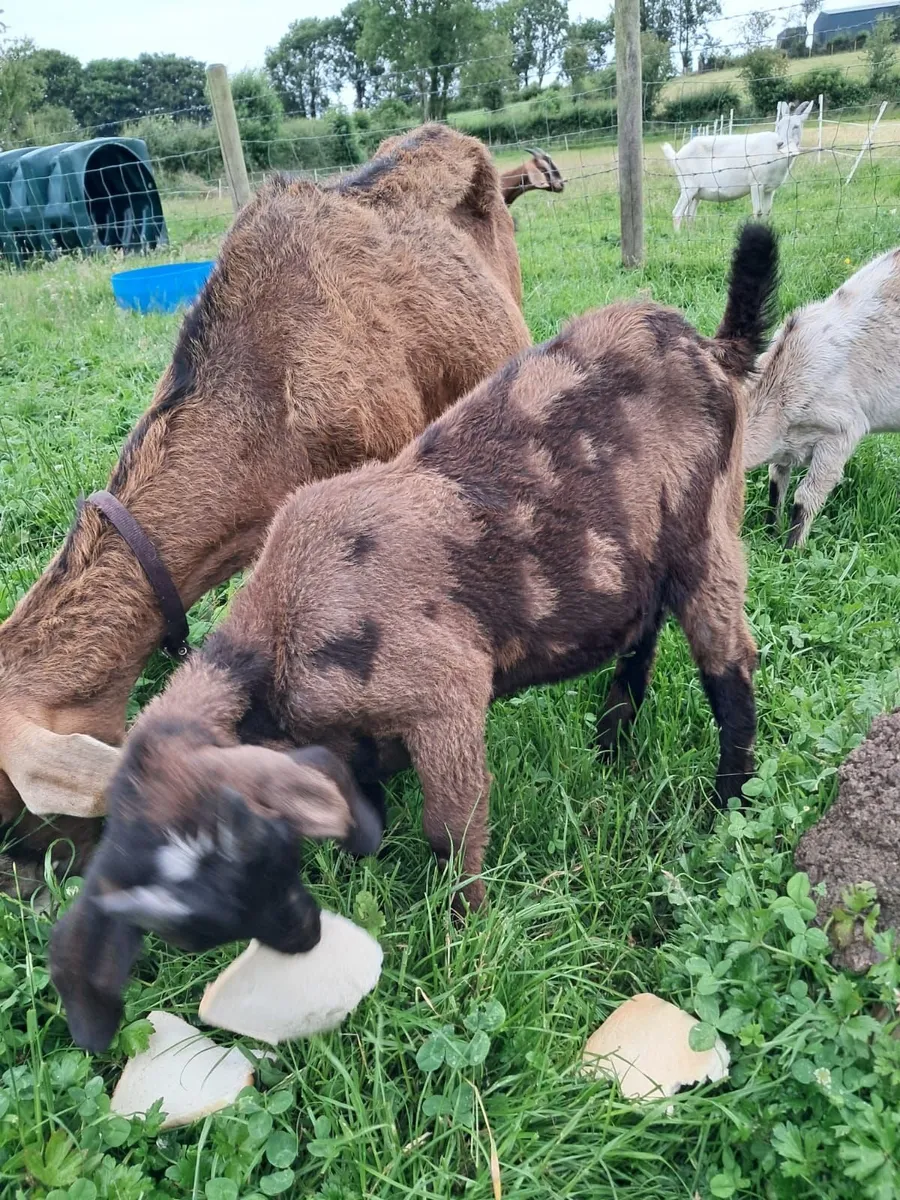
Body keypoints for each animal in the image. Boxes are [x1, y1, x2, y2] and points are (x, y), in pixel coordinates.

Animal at [50, 224, 779, 1054]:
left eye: (258, 842)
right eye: (189, 926)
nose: (303, 935)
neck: (283, 637)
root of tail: (712, 346)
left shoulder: (444, 692)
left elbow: (450, 828)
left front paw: (465, 938)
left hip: (711, 526)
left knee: (732, 670)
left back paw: (727, 805)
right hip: (641, 557)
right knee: (641, 632)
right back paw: (612, 743)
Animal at [663, 101, 814, 230]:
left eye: (796, 126)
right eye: (778, 126)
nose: (780, 144)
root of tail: (676, 156)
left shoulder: (769, 189)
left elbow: (767, 212)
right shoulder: (756, 183)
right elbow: (758, 211)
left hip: (697, 193)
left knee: (690, 215)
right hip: (688, 185)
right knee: (677, 212)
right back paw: (679, 236)